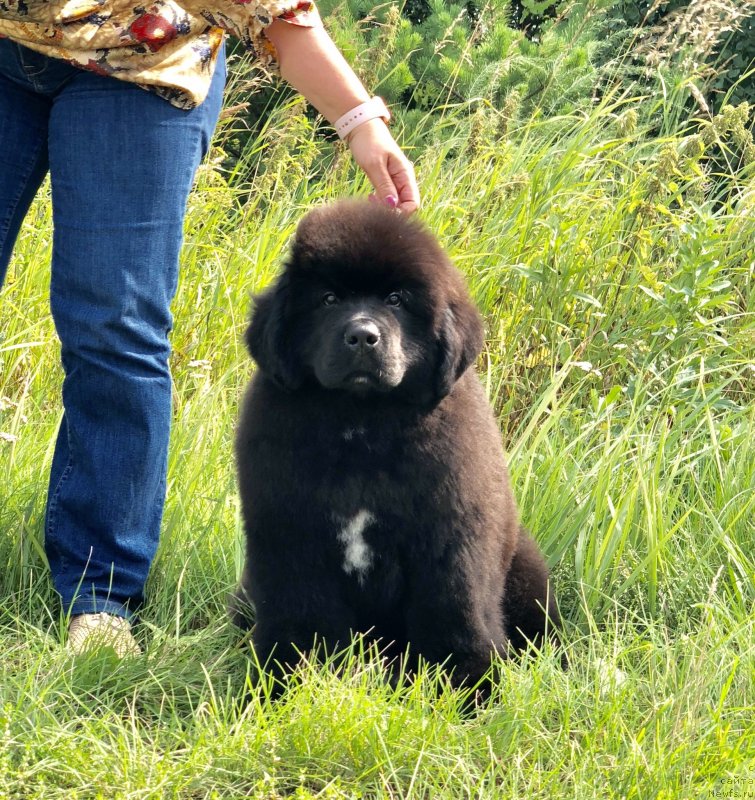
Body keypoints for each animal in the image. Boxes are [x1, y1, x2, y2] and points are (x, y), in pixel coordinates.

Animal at [233, 203, 560, 692]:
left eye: (395, 300)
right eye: (328, 299)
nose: (362, 337)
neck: (362, 423)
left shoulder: (450, 537)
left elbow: (453, 609)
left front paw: (466, 685)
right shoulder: (288, 534)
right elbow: (301, 612)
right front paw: (287, 678)